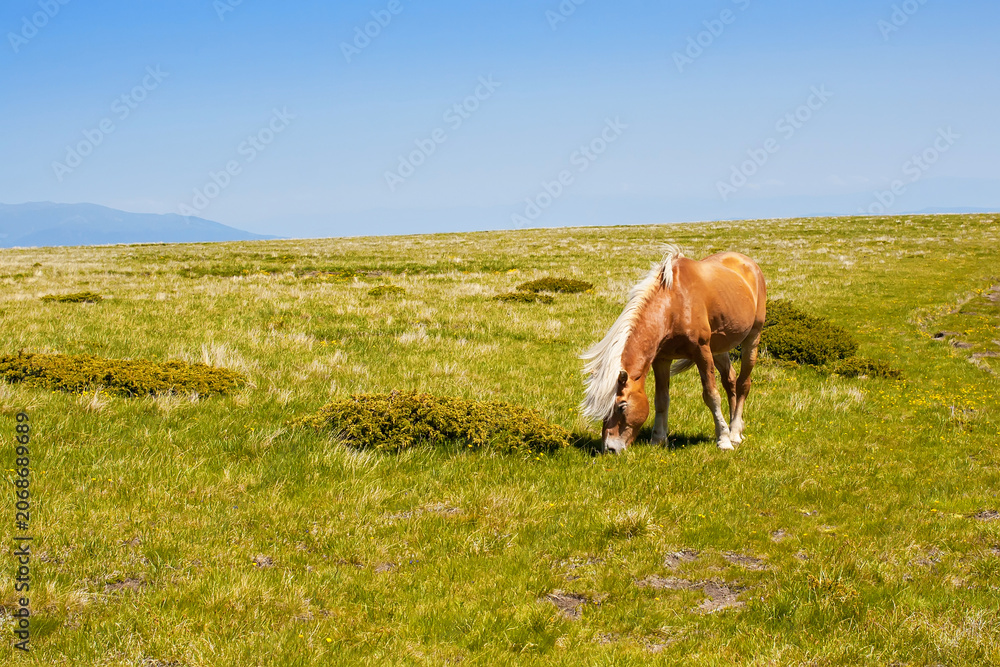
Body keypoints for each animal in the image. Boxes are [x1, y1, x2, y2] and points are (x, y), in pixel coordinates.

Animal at [580, 245, 766, 454]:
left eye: (622, 406)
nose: (609, 448)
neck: (673, 305)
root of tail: (749, 264)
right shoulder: (662, 359)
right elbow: (661, 399)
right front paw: (658, 439)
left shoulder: (702, 352)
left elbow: (711, 395)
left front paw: (724, 440)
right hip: (719, 348)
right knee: (730, 381)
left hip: (752, 338)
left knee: (743, 384)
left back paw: (734, 432)